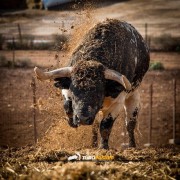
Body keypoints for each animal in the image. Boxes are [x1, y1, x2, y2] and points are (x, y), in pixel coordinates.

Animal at [34, 19, 150, 148]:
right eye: (74, 92)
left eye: (99, 93)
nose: (83, 119)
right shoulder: (66, 88)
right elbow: (68, 106)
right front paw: (72, 121)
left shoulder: (117, 102)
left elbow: (105, 126)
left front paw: (103, 147)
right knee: (95, 126)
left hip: (133, 96)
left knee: (130, 124)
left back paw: (132, 146)